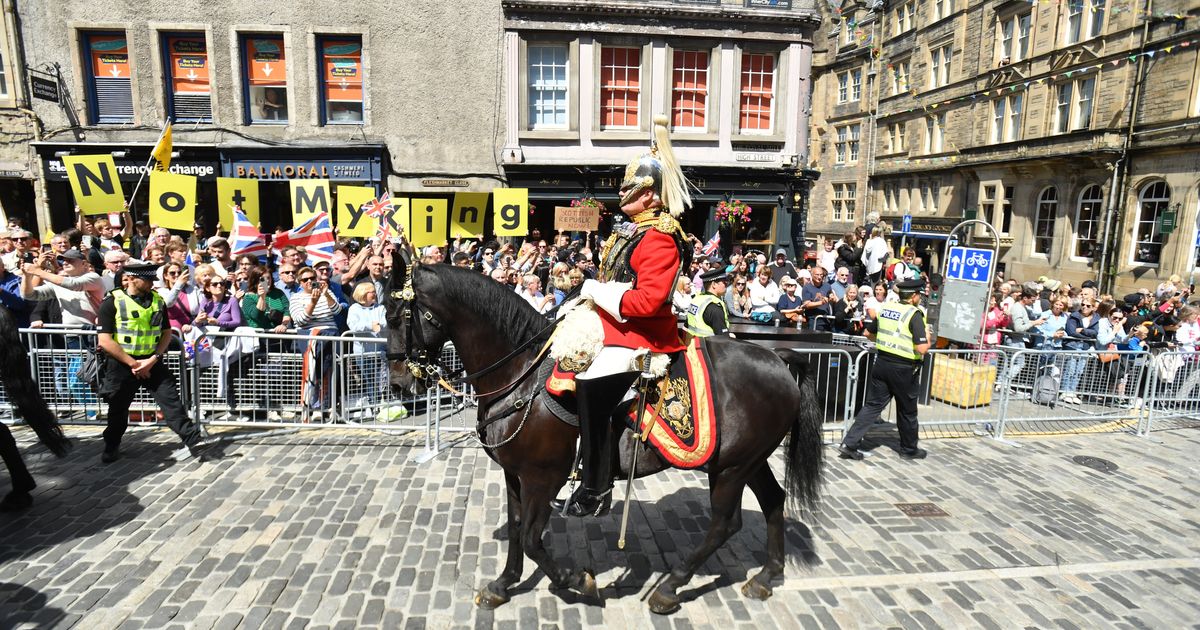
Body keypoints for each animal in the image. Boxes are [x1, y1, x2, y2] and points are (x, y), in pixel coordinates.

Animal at [386, 253, 825, 612]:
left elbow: (531, 539)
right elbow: (516, 529)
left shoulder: (544, 477)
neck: (520, 375)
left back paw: (671, 587)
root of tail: (778, 359)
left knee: (724, 523)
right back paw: (766, 576)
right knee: (772, 501)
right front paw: (503, 583)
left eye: (396, 315)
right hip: (748, 460)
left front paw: (577, 580)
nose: (397, 384)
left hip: (731, 468)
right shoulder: (514, 473)